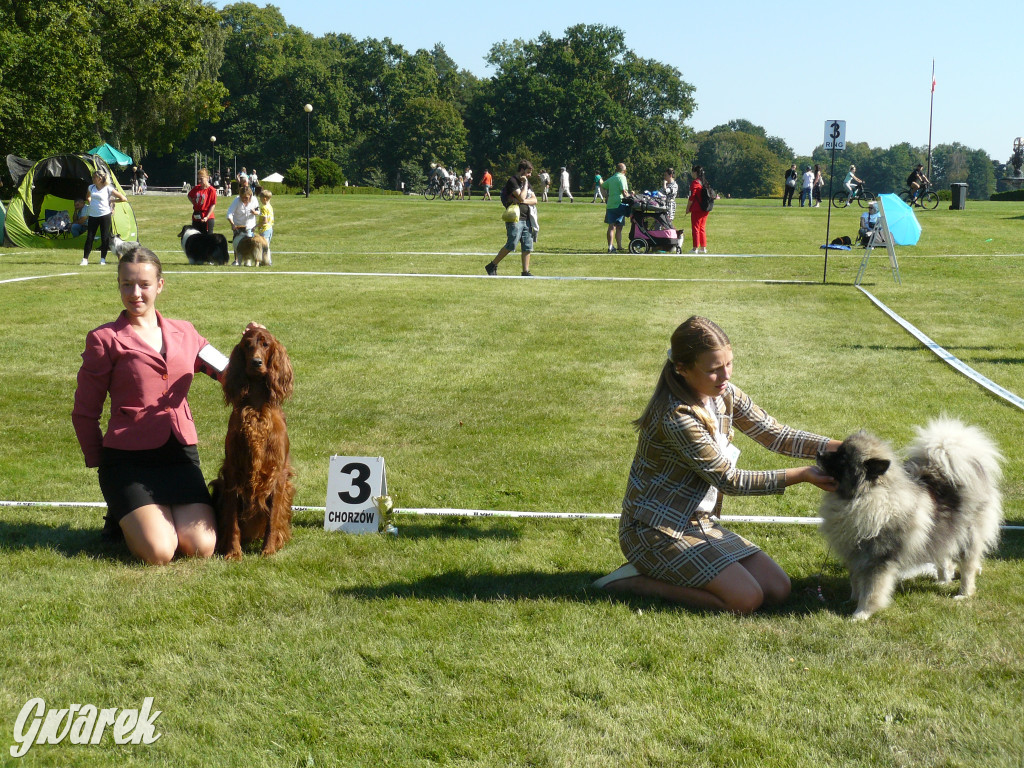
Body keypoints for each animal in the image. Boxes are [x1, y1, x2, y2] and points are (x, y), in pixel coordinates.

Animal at [214, 325, 294, 561]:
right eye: (247, 345)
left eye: (266, 344)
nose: (256, 362)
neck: (257, 405)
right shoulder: (232, 470)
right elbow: (232, 519)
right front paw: (233, 552)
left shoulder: (277, 473)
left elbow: (273, 517)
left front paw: (269, 549)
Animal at [819, 417, 1003, 622]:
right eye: (838, 450)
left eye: (843, 459)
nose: (819, 452)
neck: (865, 497)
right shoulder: (855, 556)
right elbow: (856, 582)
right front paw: (851, 601)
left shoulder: (878, 560)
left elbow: (872, 590)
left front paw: (861, 614)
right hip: (941, 535)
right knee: (944, 558)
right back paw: (942, 581)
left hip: (968, 538)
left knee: (968, 568)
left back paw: (963, 594)